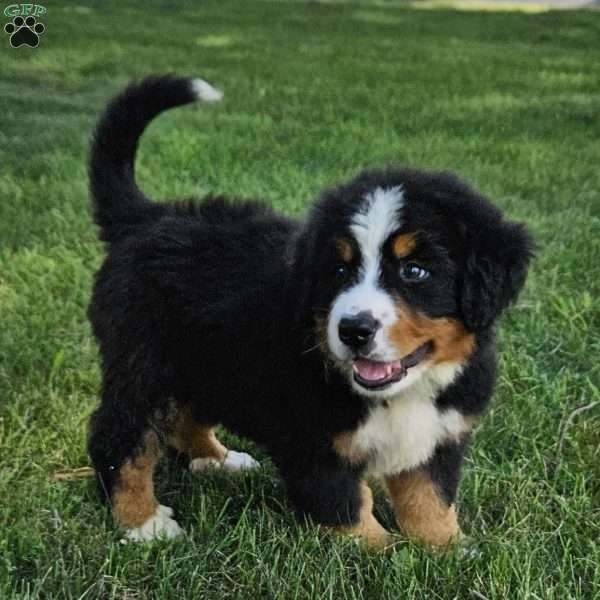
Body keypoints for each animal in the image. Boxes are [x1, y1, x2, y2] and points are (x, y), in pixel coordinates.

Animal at [86, 75, 532, 548]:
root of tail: (146, 217)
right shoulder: (312, 440)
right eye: (339, 269)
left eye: (415, 270)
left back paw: (218, 460)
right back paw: (144, 522)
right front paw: (382, 553)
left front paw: (447, 549)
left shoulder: (439, 434)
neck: (402, 393)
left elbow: (430, 497)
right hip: (145, 365)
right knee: (118, 436)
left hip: (204, 360)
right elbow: (349, 507)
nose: (354, 330)